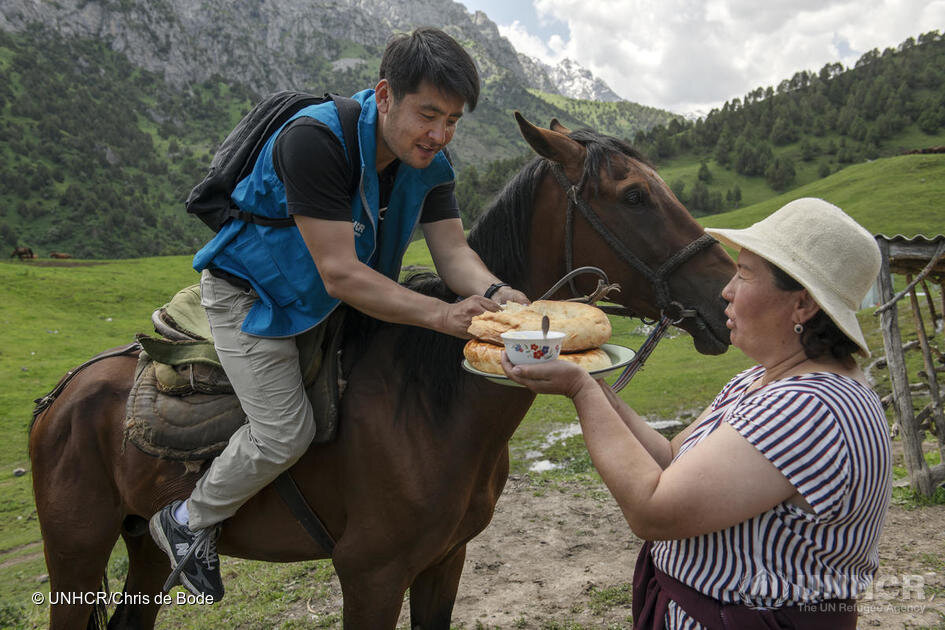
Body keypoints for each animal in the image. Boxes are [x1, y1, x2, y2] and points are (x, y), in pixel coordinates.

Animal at [29, 115, 732, 630]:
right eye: (634, 195)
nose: (727, 297)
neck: (427, 405)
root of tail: (62, 395)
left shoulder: (444, 562)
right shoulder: (371, 575)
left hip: (142, 551)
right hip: (75, 557)